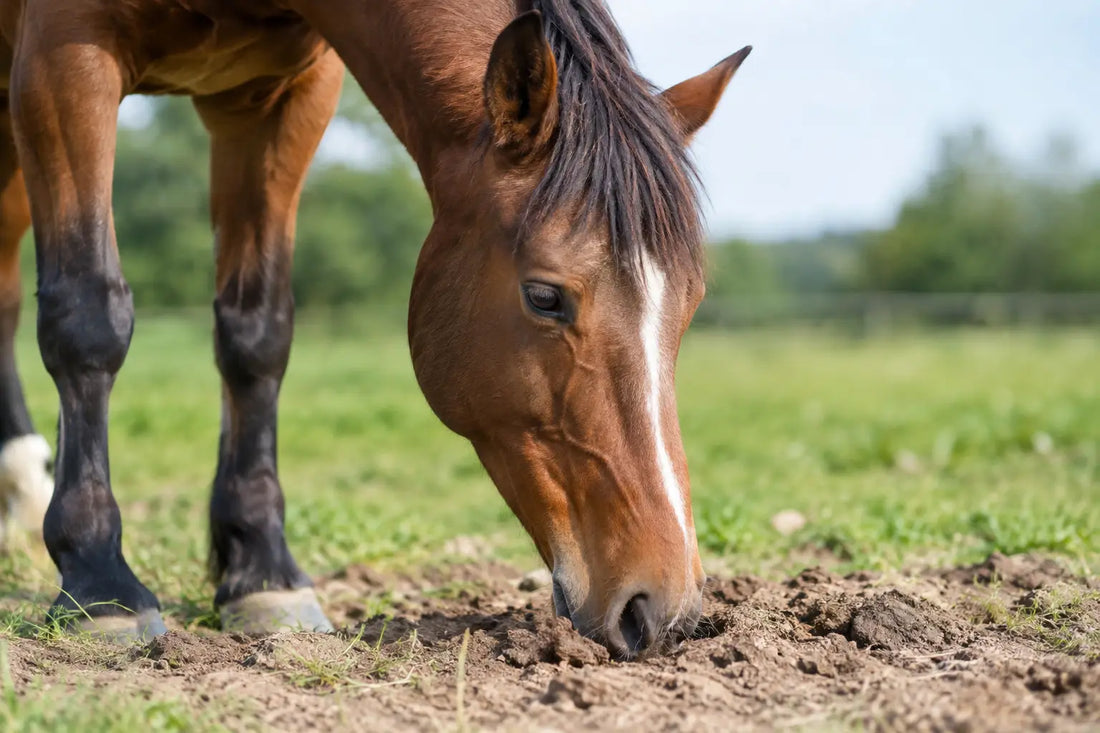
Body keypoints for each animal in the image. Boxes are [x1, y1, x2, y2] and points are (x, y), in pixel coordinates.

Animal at [0, 0, 749, 659]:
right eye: (544, 296)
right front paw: (99, 582)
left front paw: (264, 575)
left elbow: (256, 333)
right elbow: (88, 318)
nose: (664, 610)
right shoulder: (64, 60)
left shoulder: (279, 98)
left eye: (690, 303)